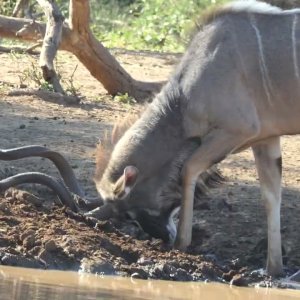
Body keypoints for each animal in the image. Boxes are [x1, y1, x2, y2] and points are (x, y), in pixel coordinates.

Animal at [0, 0, 298, 276]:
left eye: (129, 213)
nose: (164, 237)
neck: (185, 92)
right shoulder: (265, 139)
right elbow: (270, 195)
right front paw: (273, 269)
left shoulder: (237, 130)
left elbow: (188, 169)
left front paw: (182, 244)